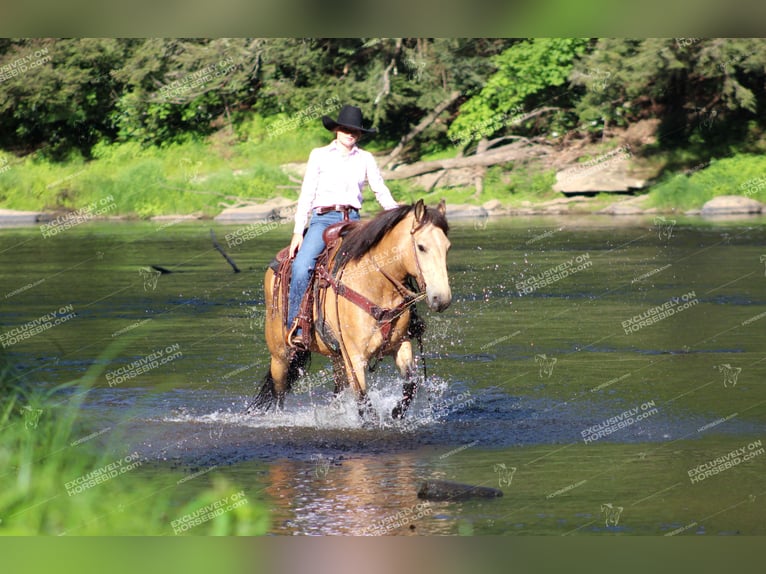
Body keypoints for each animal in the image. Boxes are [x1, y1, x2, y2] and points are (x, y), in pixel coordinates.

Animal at [246, 200, 450, 420]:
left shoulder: (400, 344)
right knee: (279, 392)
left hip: (336, 356)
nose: (442, 299)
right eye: (421, 247)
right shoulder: (354, 356)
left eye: (447, 247)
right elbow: (363, 402)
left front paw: (395, 413)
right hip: (280, 355)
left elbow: (410, 385)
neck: (375, 285)